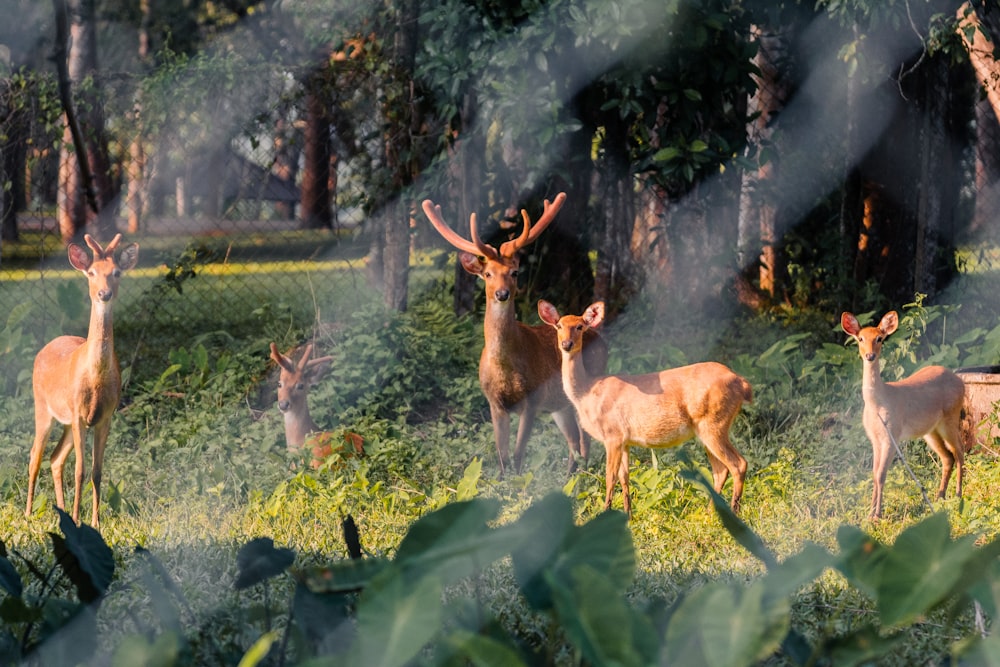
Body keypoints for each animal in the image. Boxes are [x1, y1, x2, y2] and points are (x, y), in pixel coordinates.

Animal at [25, 235, 140, 528]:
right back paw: (28, 513)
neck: (95, 378)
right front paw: (79, 520)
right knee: (35, 456)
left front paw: (95, 522)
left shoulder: (105, 415)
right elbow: (80, 470)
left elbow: (97, 471)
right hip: (42, 406)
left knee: (55, 459)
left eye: (116, 272)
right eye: (91, 273)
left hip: (67, 421)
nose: (104, 294)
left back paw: (62, 511)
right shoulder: (79, 414)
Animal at [422, 192, 608, 474]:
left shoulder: (532, 400)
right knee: (574, 441)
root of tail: (601, 339)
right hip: (559, 405)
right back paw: (570, 476)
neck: (505, 367)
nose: (502, 293)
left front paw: (519, 483)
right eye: (487, 274)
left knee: (585, 440)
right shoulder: (494, 403)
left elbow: (519, 455)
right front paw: (502, 481)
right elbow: (503, 456)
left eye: (515, 272)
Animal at [540, 300, 752, 520]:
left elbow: (610, 477)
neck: (587, 392)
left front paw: (605, 513)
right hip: (706, 429)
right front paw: (628, 515)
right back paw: (710, 513)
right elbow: (624, 476)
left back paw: (734, 512)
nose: (566, 344)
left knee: (738, 464)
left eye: (580, 326)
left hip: (713, 423)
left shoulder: (613, 434)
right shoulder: (624, 440)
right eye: (559, 326)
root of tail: (741, 383)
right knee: (720, 470)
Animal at [840, 310, 972, 520]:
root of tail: (959, 380)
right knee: (947, 457)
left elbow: (881, 475)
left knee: (959, 451)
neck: (877, 403)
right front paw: (869, 513)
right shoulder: (875, 438)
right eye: (860, 338)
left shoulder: (891, 434)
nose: (870, 355)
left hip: (950, 417)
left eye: (879, 338)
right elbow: (874, 474)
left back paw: (958, 495)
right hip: (930, 431)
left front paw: (877, 515)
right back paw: (939, 496)